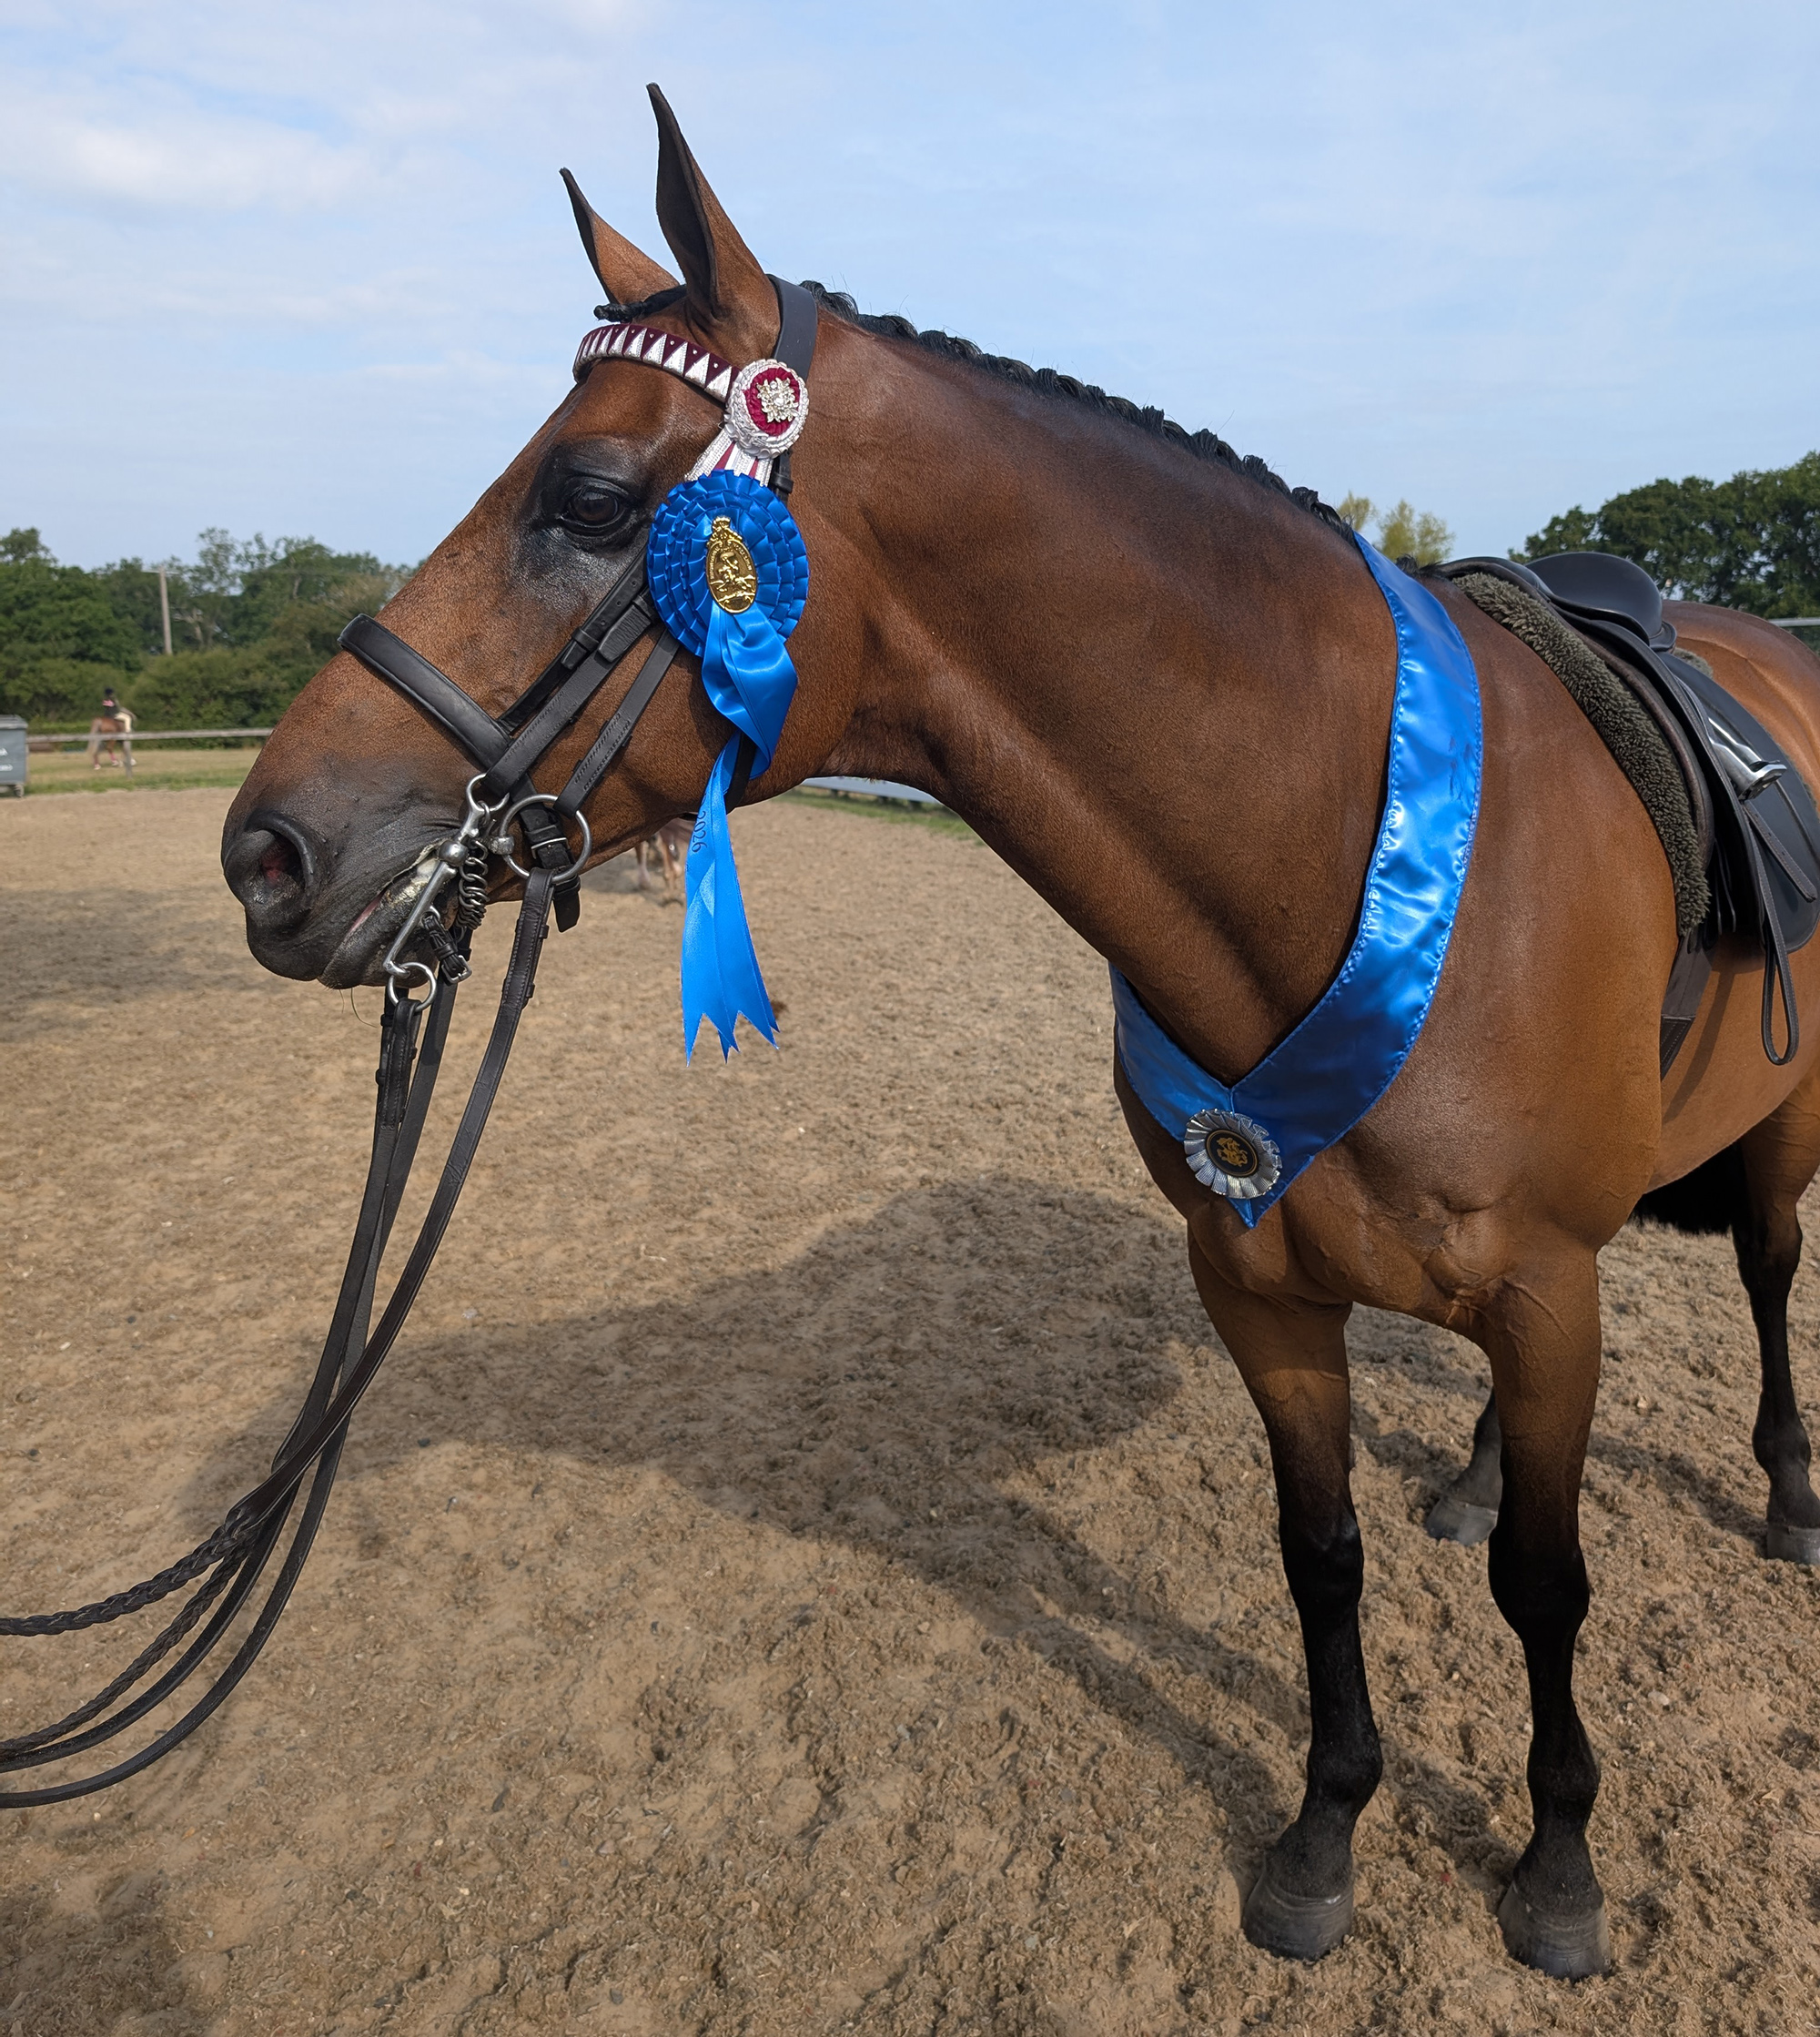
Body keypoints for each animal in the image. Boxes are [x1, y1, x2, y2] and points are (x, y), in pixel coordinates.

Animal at [219, 88, 1820, 1978]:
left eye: (593, 497)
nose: (269, 850)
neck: (1354, 852)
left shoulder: (1545, 1282)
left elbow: (1552, 1590)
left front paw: (1559, 1860)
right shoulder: (1263, 1284)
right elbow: (1324, 1555)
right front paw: (1322, 1830)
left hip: (1771, 1145)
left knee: (1770, 1275)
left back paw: (1789, 1496)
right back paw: (1485, 1474)